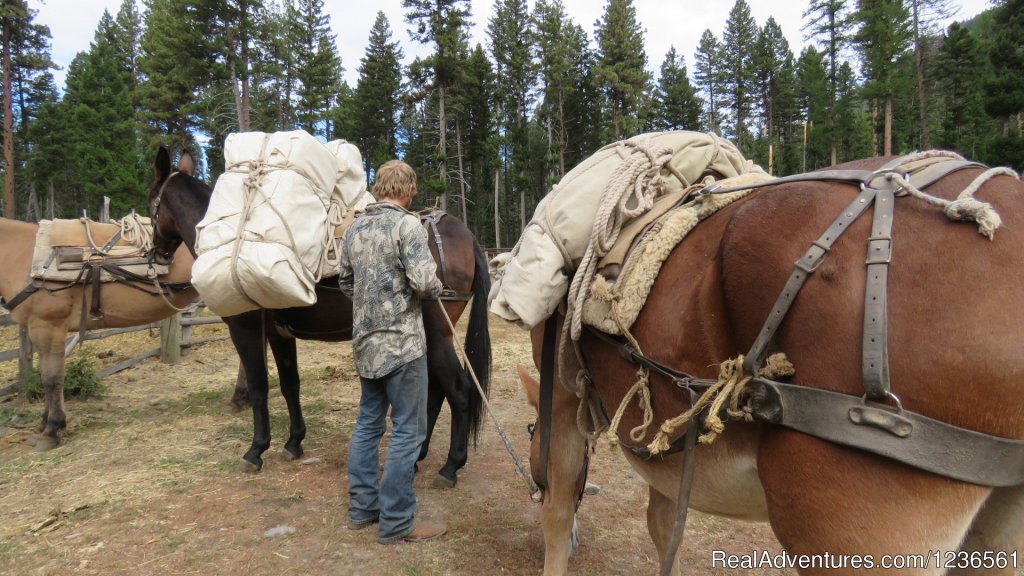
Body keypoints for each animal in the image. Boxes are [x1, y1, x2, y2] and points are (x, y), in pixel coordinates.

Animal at [0, 154, 198, 450]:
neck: (23, 256)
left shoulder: (48, 326)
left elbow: (52, 378)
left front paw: (52, 429)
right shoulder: (41, 330)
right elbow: (48, 374)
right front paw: (44, 424)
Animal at [147, 145, 491, 481]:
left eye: (151, 203)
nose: (158, 254)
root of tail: (464, 233)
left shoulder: (245, 330)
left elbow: (259, 388)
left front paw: (256, 450)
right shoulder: (279, 335)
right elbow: (290, 385)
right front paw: (293, 442)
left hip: (437, 335)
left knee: (459, 390)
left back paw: (451, 466)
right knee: (436, 393)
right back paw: (418, 458)